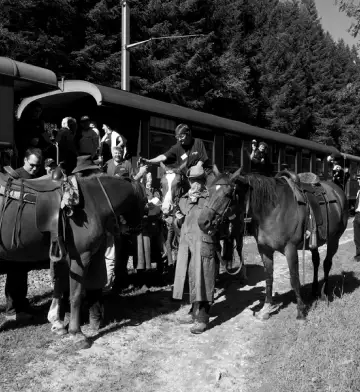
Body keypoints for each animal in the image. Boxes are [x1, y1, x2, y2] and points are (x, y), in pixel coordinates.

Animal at [0, 175, 146, 350]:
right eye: (145, 201)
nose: (138, 229)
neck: (93, 200)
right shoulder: (81, 257)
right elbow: (75, 295)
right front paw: (76, 333)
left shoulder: (63, 256)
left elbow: (60, 286)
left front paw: (57, 323)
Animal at [198, 170, 348, 320]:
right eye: (208, 192)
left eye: (228, 194)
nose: (202, 222)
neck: (272, 210)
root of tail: (337, 191)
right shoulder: (264, 250)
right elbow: (268, 277)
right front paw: (266, 309)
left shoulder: (290, 249)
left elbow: (294, 279)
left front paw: (300, 312)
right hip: (314, 243)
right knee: (316, 261)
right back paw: (315, 290)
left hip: (334, 240)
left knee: (327, 264)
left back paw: (324, 294)